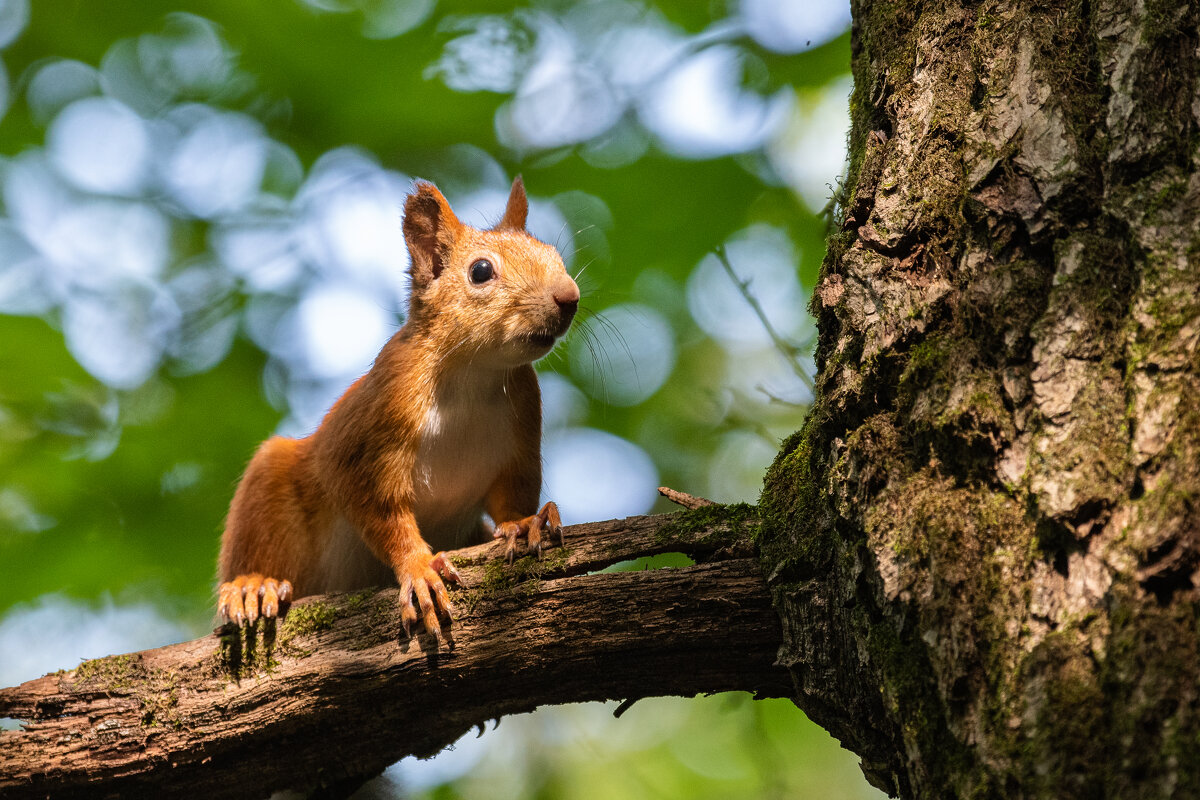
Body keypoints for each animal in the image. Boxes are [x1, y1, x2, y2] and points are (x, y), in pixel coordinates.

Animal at [218, 178, 578, 642]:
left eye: (554, 254)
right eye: (480, 271)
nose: (569, 296)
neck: (473, 374)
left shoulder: (523, 427)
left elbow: (513, 493)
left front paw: (524, 523)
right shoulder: (375, 423)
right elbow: (378, 508)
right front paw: (418, 567)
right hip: (270, 488)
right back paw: (253, 585)